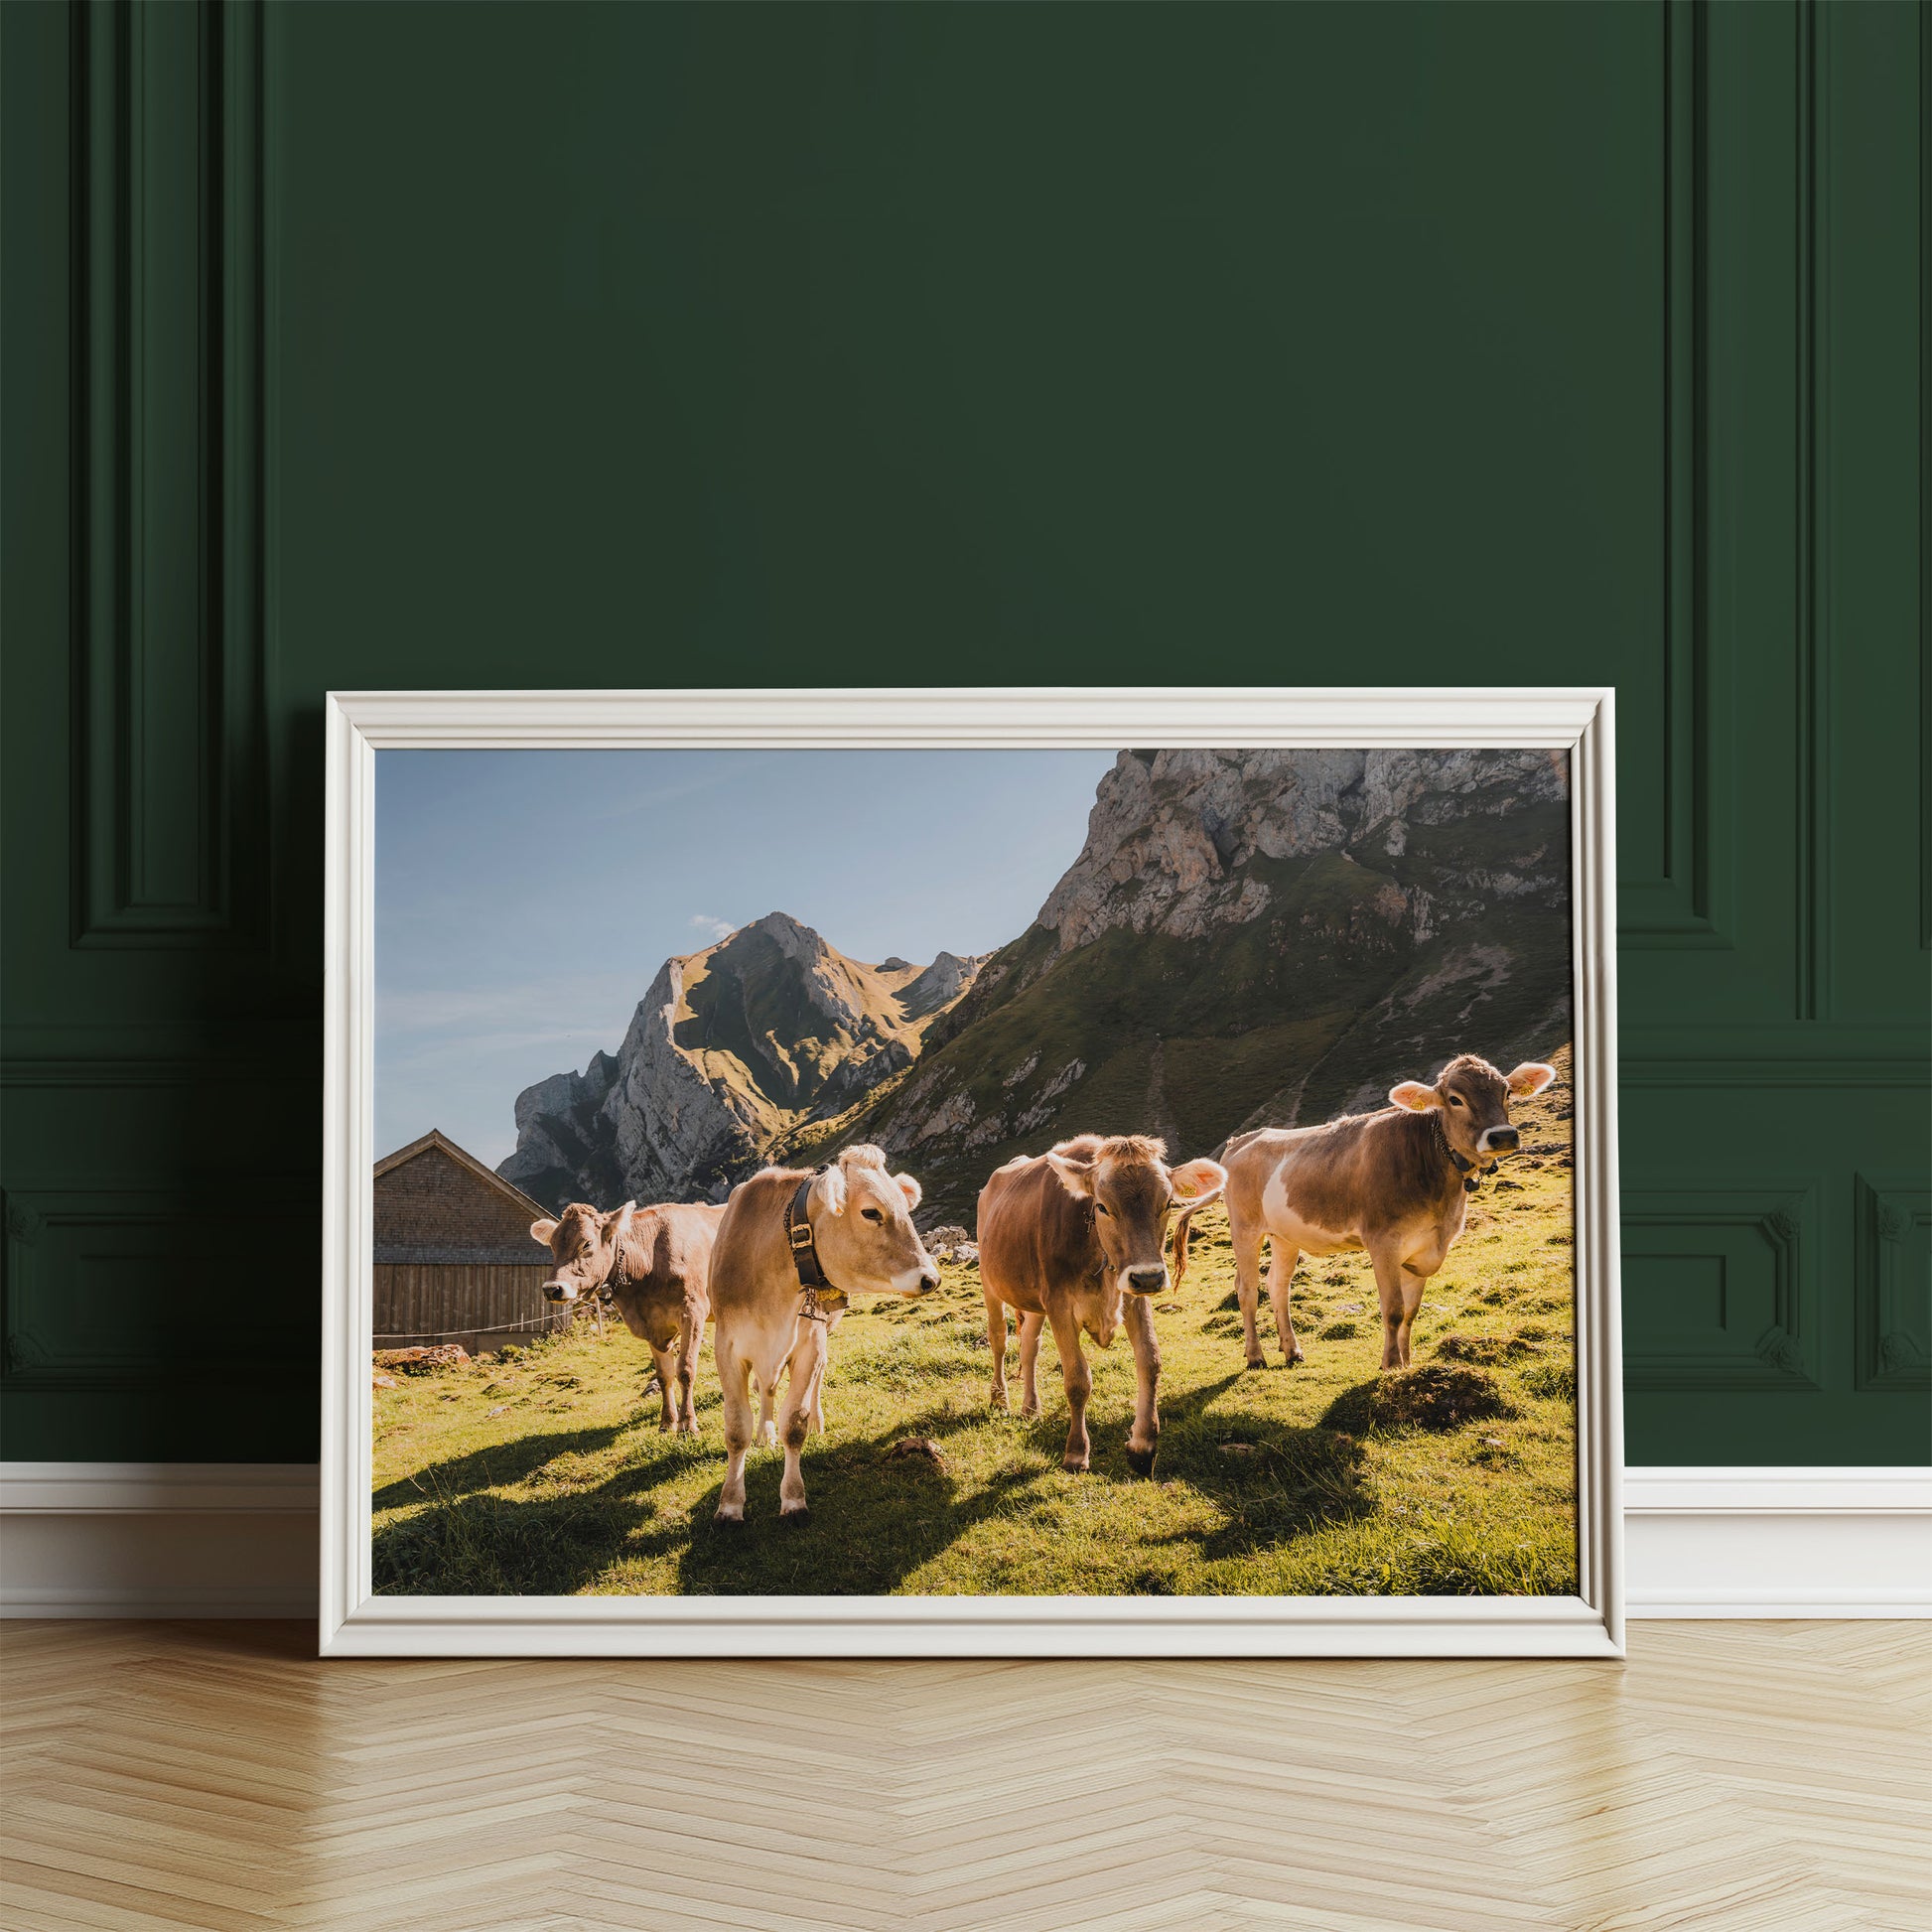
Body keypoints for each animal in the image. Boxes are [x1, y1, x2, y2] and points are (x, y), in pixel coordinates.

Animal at [529, 1189, 726, 1437]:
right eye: (553, 1246)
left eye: (586, 1244)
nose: (551, 1289)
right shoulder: (653, 1325)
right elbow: (664, 1375)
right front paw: (666, 1423)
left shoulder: (693, 1313)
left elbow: (685, 1370)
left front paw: (687, 1425)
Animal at [707, 1144, 938, 1522]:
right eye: (871, 1212)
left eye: (906, 1210)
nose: (930, 1278)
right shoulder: (727, 1347)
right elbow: (737, 1429)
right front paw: (729, 1505)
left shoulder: (808, 1345)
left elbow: (794, 1424)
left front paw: (793, 1500)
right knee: (767, 1388)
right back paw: (765, 1432)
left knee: (814, 1380)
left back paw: (816, 1419)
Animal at [973, 1128, 1228, 1475]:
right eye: (1103, 1207)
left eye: (1167, 1203)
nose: (1149, 1277)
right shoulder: (1059, 1304)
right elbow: (1077, 1380)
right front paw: (1076, 1452)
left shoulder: (1131, 1295)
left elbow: (1150, 1361)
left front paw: (1143, 1445)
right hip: (991, 1284)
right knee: (999, 1339)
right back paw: (1000, 1399)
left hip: (1034, 1299)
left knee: (1029, 1346)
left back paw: (1030, 1407)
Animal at [1167, 1058, 1561, 1375]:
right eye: (1455, 1099)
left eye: (1506, 1092)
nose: (1503, 1135)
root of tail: (1240, 1141)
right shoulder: (1383, 1241)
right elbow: (1394, 1309)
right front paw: (1390, 1364)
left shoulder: (1425, 1248)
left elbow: (1412, 1310)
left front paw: (1407, 1363)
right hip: (1245, 1228)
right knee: (1247, 1290)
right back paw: (1256, 1357)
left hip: (1284, 1235)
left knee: (1278, 1286)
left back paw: (1292, 1350)